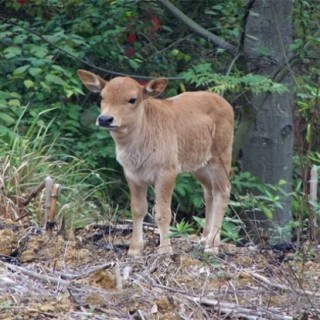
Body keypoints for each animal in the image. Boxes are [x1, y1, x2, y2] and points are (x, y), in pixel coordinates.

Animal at [76, 69, 234, 255]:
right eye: (102, 96)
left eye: (132, 99)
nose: (105, 119)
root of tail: (226, 104)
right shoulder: (132, 174)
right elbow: (138, 209)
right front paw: (135, 249)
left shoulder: (167, 172)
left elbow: (163, 212)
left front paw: (165, 249)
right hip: (199, 164)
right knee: (209, 192)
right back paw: (203, 239)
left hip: (221, 156)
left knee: (223, 192)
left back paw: (212, 245)